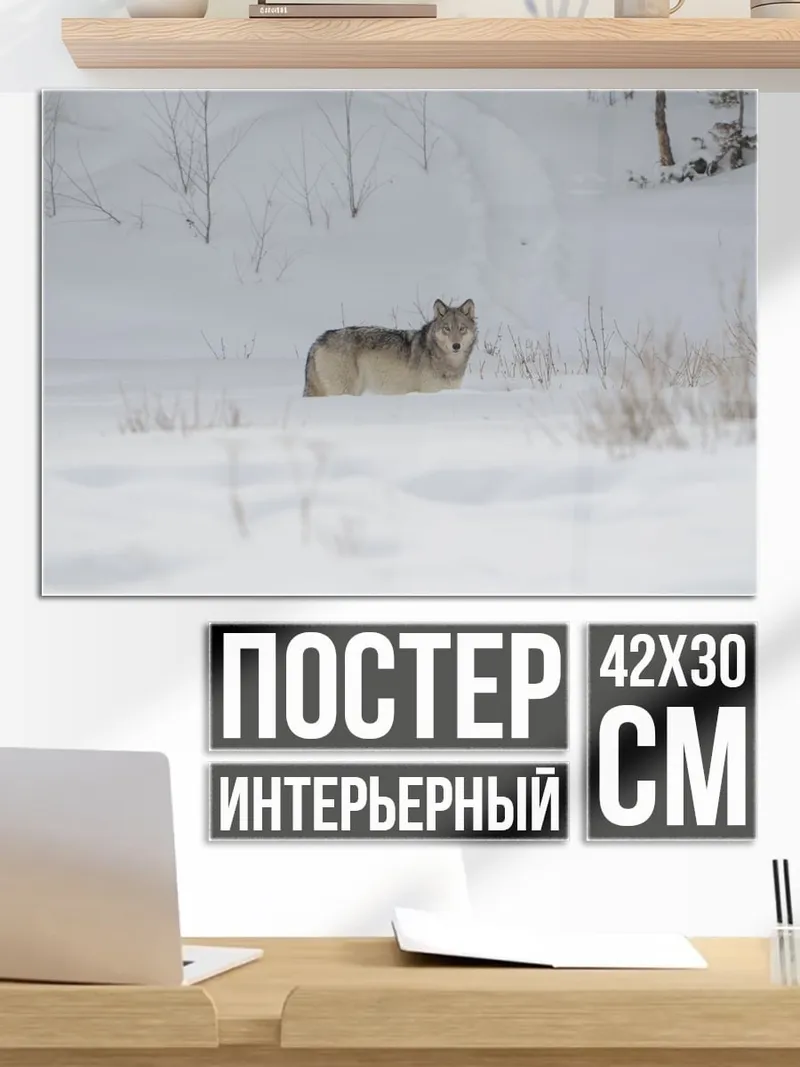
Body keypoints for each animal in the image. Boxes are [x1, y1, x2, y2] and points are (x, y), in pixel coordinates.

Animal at [302, 299, 478, 398]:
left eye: (462, 329)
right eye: (447, 329)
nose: (456, 345)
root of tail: (318, 341)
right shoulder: (428, 392)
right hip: (345, 390)